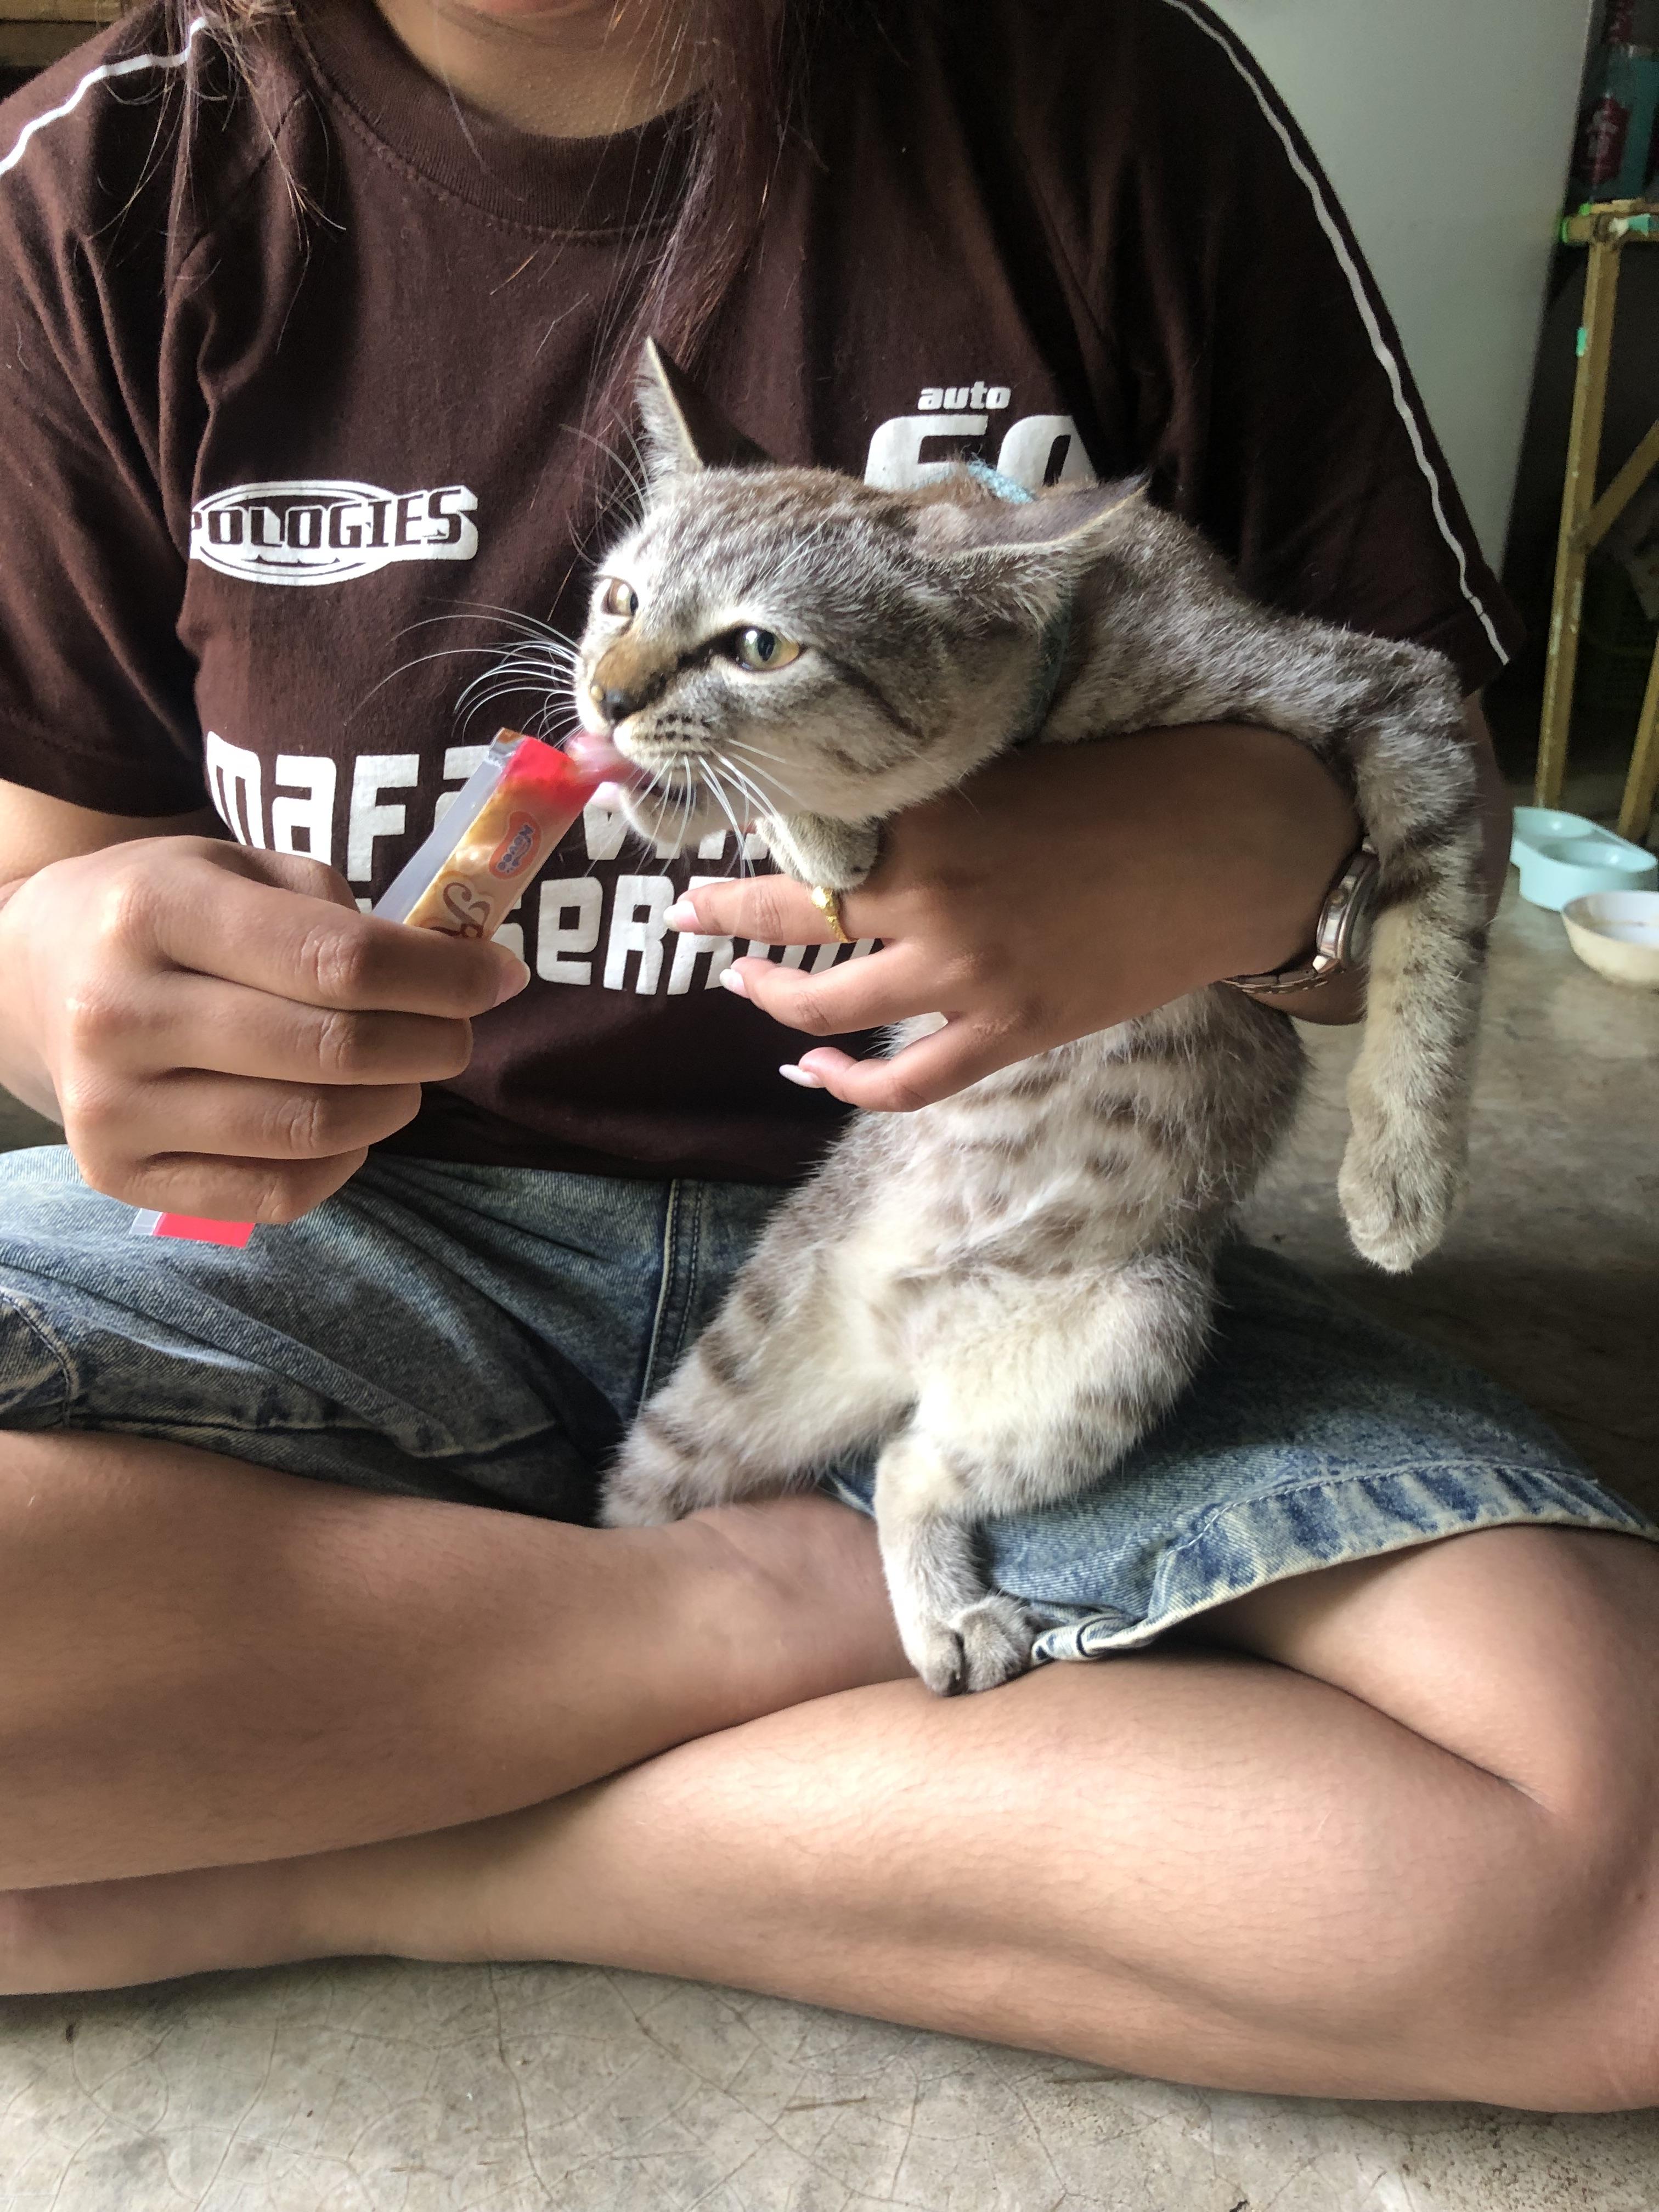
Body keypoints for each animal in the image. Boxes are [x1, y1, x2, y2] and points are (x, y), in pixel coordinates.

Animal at [579, 343, 1485, 1695]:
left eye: (756, 645)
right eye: (619, 600)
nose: (602, 696)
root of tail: (898, 1332)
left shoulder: (1398, 698)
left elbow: (1444, 923)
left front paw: (1401, 1174)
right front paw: (778, 819)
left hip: (1127, 1332)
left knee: (911, 1465)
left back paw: (947, 1612)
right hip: (741, 1369)